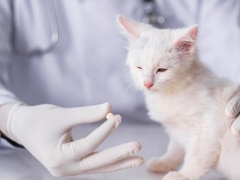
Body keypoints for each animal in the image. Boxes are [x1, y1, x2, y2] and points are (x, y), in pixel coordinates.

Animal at [117, 15, 240, 180]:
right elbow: (175, 150)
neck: (172, 92)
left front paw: (183, 175)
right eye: (139, 68)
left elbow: (195, 158)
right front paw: (164, 162)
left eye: (161, 70)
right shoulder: (176, 131)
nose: (147, 84)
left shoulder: (206, 132)